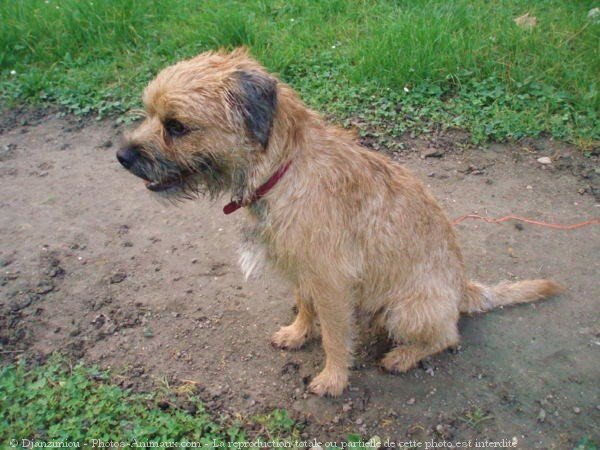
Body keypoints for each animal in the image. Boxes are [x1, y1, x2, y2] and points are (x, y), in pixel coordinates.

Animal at [116, 47, 564, 396]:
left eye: (176, 126)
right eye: (150, 114)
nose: (122, 156)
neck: (285, 168)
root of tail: (462, 288)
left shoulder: (330, 279)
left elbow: (334, 335)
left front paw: (333, 379)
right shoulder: (301, 267)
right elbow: (304, 303)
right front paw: (298, 333)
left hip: (406, 310)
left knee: (447, 336)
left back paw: (404, 355)